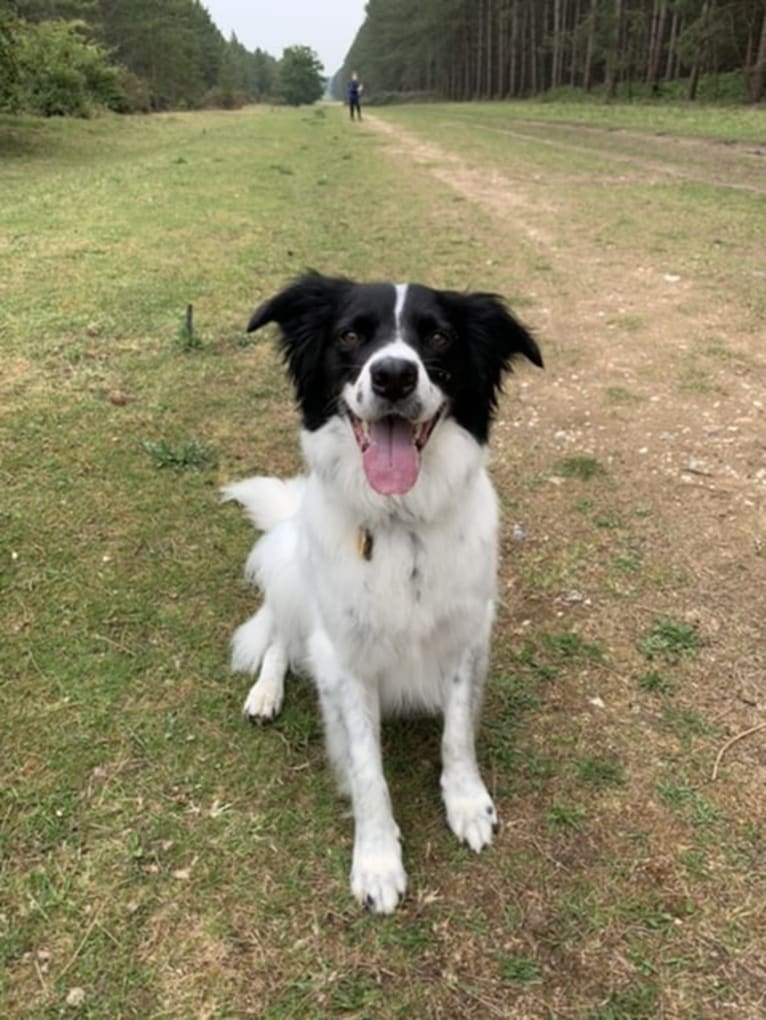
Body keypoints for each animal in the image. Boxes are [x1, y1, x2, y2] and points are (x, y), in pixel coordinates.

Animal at [224, 273, 542, 918]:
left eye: (439, 337)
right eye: (351, 335)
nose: (394, 375)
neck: (401, 524)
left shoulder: (464, 636)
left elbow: (457, 735)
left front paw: (466, 803)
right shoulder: (345, 661)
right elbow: (368, 772)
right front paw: (376, 861)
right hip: (292, 573)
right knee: (277, 634)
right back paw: (266, 691)